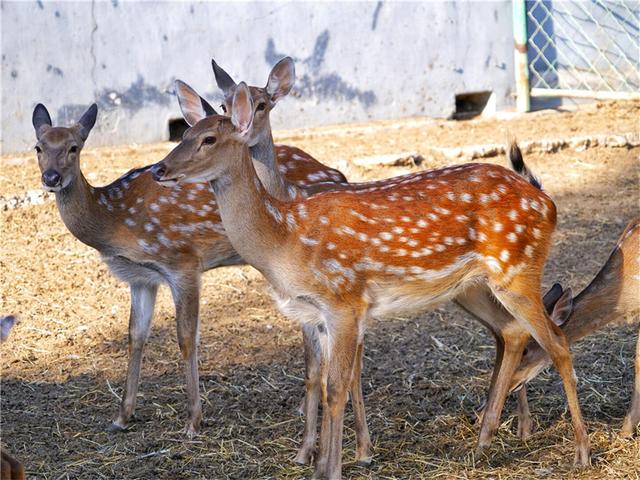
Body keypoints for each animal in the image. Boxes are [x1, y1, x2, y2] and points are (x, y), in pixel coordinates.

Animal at [30, 57, 348, 436]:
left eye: (74, 147)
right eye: (38, 147)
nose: (51, 178)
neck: (115, 219)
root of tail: (337, 174)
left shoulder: (182, 261)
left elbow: (186, 338)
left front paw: (193, 420)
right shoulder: (141, 277)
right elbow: (135, 335)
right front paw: (122, 416)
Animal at [152, 82, 592, 476]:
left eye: (209, 138)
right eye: (184, 134)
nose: (159, 169)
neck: (284, 240)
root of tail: (548, 203)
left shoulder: (343, 301)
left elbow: (336, 388)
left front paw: (329, 469)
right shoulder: (319, 314)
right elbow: (327, 383)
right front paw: (325, 460)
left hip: (517, 268)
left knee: (558, 342)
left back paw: (581, 454)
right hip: (472, 285)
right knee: (514, 332)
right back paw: (483, 443)